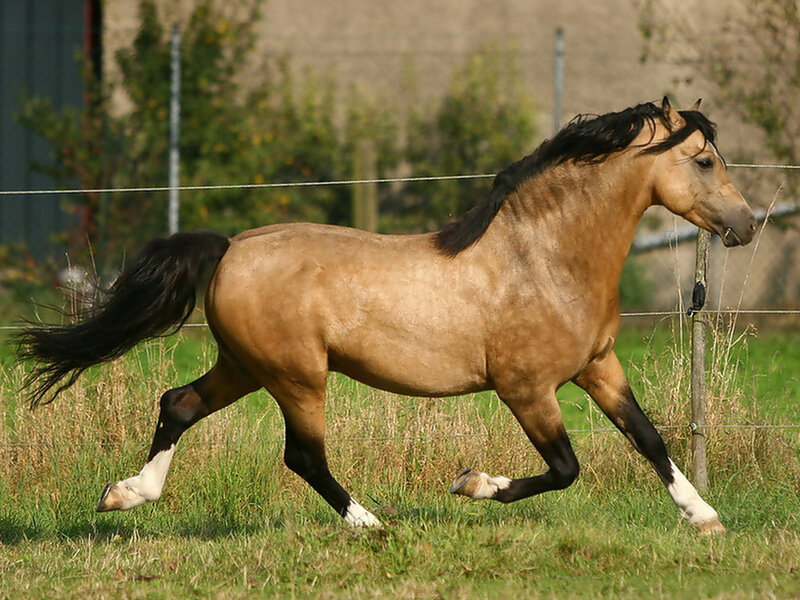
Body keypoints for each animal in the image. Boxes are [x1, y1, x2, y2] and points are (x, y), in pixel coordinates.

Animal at [17, 97, 756, 534]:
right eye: (703, 160)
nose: (748, 225)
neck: (542, 258)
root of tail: (229, 247)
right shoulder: (527, 389)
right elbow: (566, 467)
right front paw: (470, 483)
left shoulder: (598, 367)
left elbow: (649, 438)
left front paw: (705, 517)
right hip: (297, 378)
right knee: (302, 454)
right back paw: (369, 523)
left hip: (246, 366)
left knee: (178, 403)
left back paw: (124, 495)